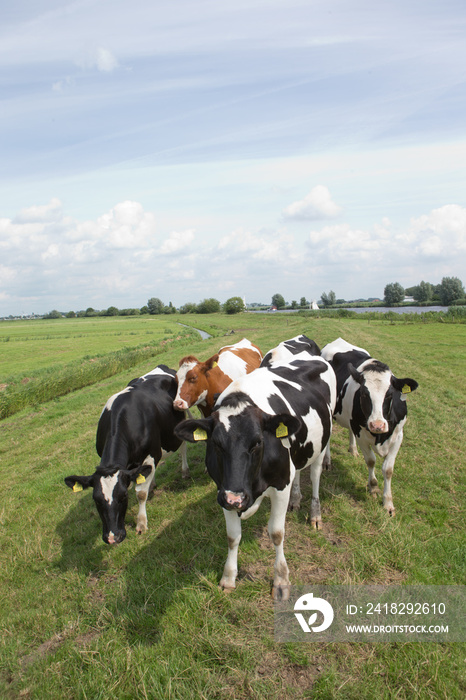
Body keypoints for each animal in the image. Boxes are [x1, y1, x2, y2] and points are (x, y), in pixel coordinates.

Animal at [64, 366, 189, 548]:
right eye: (96, 500)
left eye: (123, 497)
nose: (113, 537)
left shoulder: (152, 454)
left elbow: (141, 494)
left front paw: (141, 524)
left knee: (183, 445)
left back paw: (185, 471)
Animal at [175, 336, 334, 600]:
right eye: (216, 444)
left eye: (258, 442)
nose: (236, 499)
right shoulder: (224, 490)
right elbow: (232, 537)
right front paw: (228, 577)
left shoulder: (280, 485)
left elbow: (277, 533)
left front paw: (281, 579)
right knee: (299, 471)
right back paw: (296, 499)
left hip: (320, 447)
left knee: (315, 475)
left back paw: (315, 514)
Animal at [320, 336, 418, 516]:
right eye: (364, 393)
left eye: (390, 394)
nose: (377, 425)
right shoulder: (361, 434)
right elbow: (371, 461)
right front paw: (373, 487)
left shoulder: (398, 435)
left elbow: (388, 469)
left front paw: (388, 503)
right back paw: (327, 461)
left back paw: (353, 450)